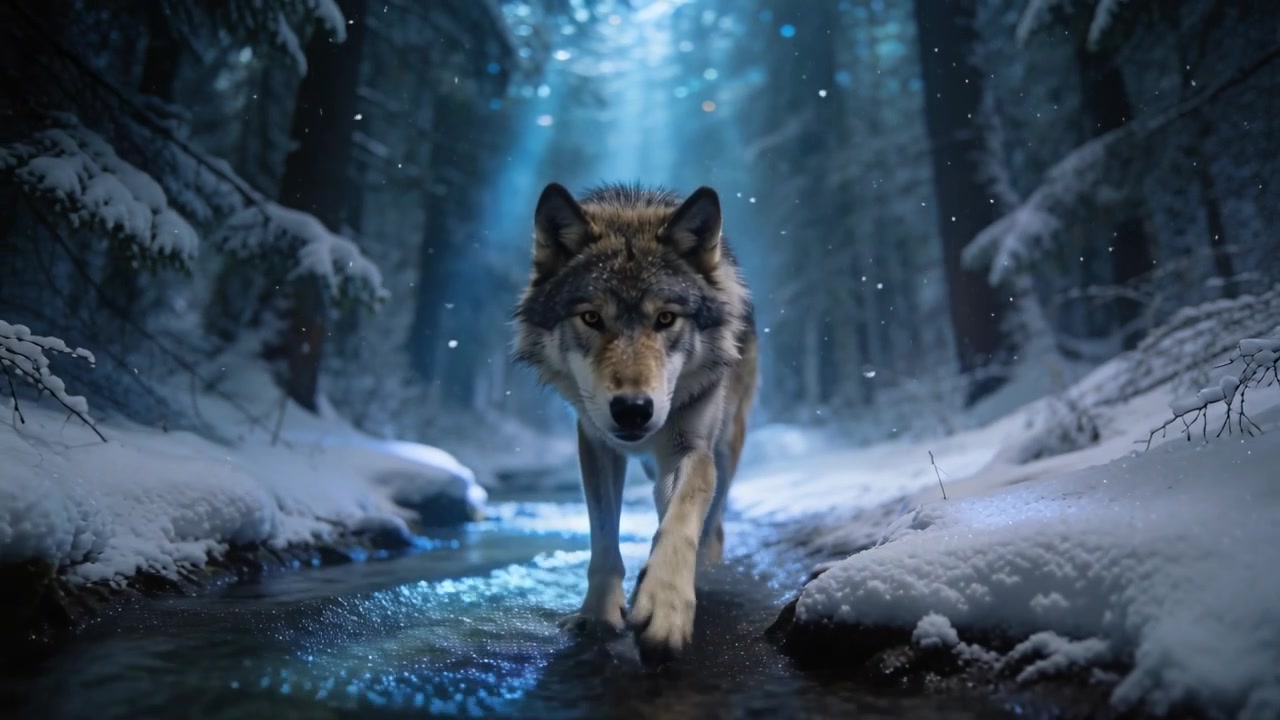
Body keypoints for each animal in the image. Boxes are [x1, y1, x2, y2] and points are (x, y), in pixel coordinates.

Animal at [512, 181, 757, 663]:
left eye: (666, 318)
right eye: (591, 317)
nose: (632, 409)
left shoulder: (692, 447)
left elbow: (682, 520)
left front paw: (666, 604)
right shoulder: (596, 444)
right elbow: (604, 537)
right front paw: (597, 615)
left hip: (727, 445)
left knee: (711, 521)